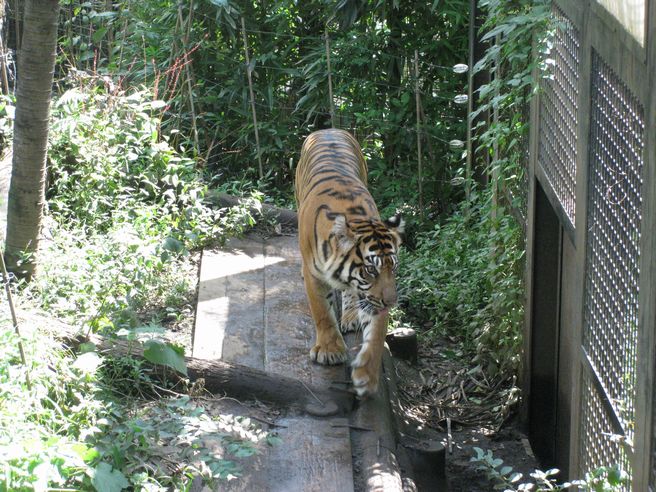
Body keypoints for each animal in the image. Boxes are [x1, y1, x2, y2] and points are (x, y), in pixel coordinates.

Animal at [295, 128, 404, 398]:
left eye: (393, 268)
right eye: (370, 269)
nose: (392, 302)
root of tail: (327, 129)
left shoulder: (374, 296)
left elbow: (377, 333)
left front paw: (367, 374)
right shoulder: (315, 276)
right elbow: (322, 312)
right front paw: (330, 351)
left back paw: (351, 315)